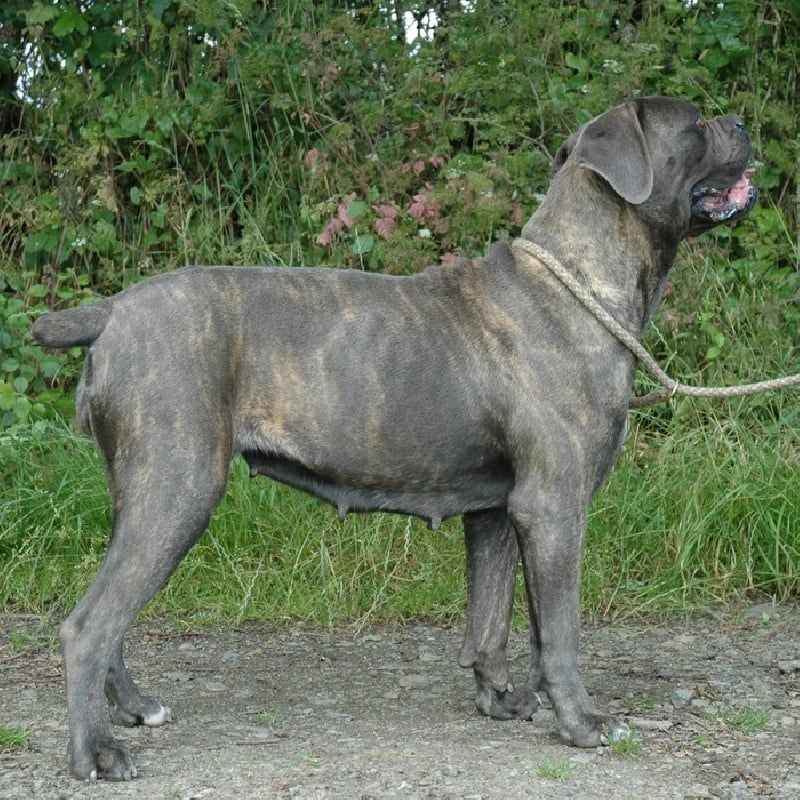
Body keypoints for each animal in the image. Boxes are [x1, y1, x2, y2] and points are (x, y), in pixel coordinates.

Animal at [32, 97, 756, 780]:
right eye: (696, 124)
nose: (743, 121)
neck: (579, 278)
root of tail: (113, 312)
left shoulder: (498, 511)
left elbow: (489, 619)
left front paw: (499, 699)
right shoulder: (553, 506)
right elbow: (559, 630)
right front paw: (580, 721)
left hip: (142, 495)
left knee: (112, 615)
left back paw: (134, 708)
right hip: (177, 491)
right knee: (89, 625)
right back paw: (97, 753)